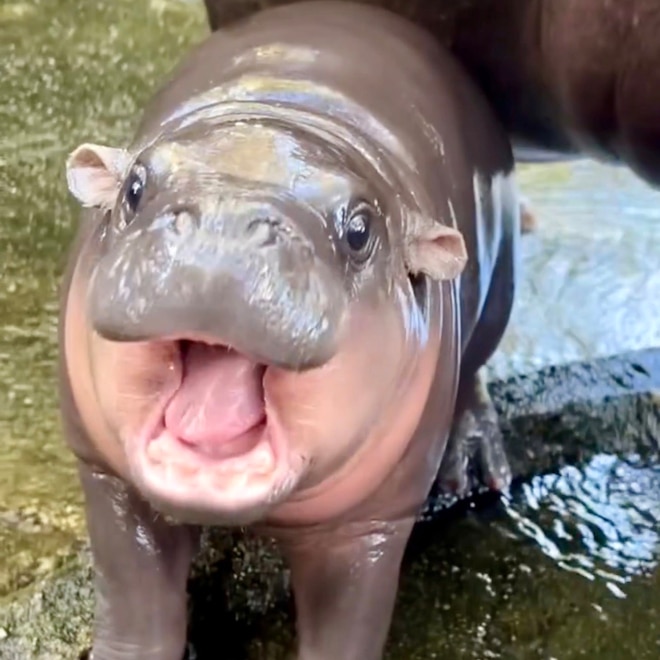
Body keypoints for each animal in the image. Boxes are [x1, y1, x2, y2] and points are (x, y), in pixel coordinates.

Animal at [59, 2, 520, 656]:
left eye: (360, 230)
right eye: (134, 187)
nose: (225, 227)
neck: (285, 118)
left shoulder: (371, 526)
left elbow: (347, 629)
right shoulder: (106, 475)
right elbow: (134, 611)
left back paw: (477, 466)